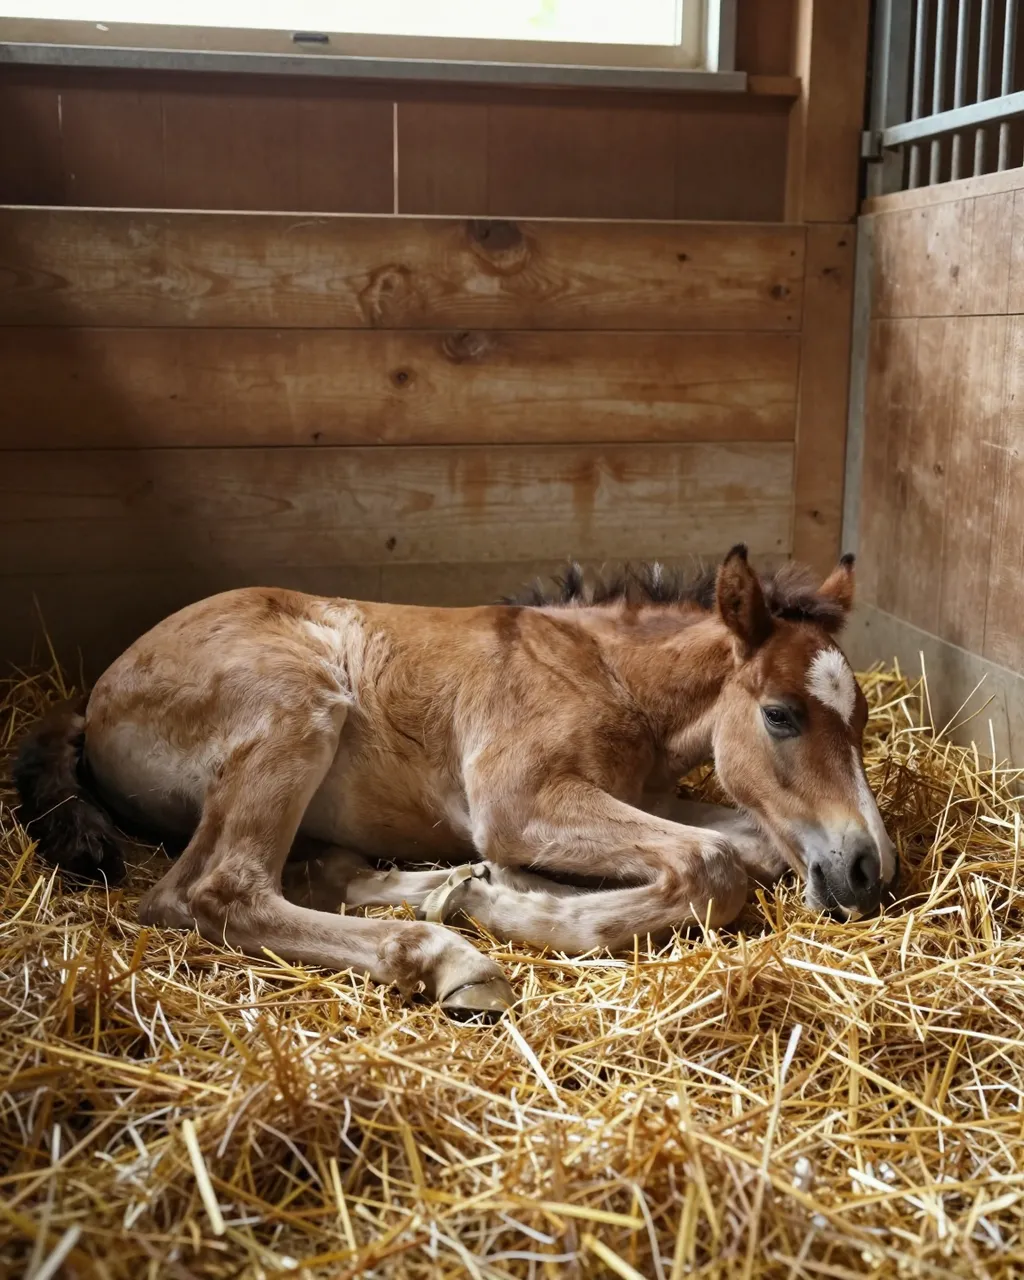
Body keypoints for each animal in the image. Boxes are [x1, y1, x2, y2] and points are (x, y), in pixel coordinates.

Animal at [13, 546, 897, 1019]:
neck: (606, 673)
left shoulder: (641, 797)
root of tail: (94, 694)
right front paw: (516, 906)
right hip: (298, 704)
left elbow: (749, 845)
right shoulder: (518, 801)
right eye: (780, 715)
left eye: (859, 722)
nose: (868, 871)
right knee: (210, 891)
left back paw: (429, 888)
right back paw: (451, 954)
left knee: (302, 874)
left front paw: (503, 888)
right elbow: (713, 864)